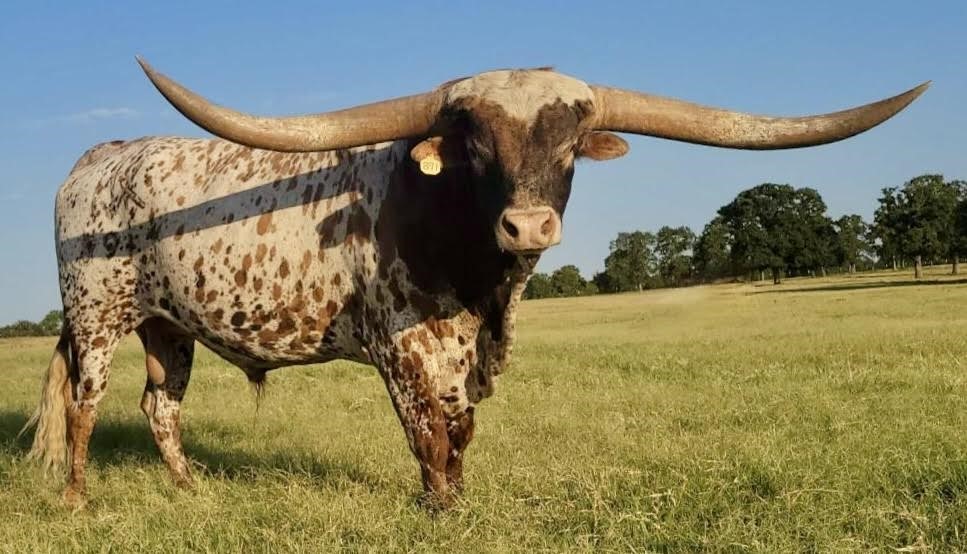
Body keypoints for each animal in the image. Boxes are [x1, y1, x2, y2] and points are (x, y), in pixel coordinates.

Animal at [22, 57, 927, 509]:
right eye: (475, 142)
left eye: (571, 143)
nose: (527, 227)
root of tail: (98, 156)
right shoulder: (401, 345)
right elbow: (426, 431)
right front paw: (438, 508)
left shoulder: (463, 348)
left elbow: (460, 432)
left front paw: (456, 496)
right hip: (97, 314)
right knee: (87, 405)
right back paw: (76, 500)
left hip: (168, 326)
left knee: (159, 406)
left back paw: (189, 490)